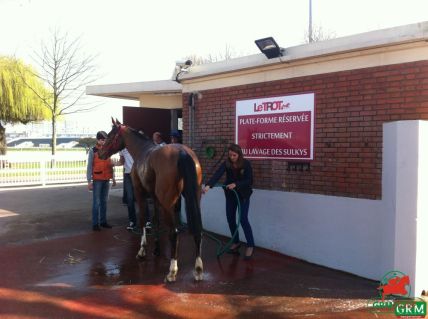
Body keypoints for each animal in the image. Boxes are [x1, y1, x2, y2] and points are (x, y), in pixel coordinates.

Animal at [97, 120, 204, 282]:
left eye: (110, 135)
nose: (100, 153)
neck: (141, 150)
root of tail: (182, 152)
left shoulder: (140, 193)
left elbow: (143, 220)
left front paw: (142, 251)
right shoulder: (155, 197)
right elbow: (155, 221)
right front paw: (156, 250)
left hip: (168, 203)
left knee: (174, 233)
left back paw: (172, 271)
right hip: (194, 198)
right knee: (197, 230)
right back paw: (198, 269)